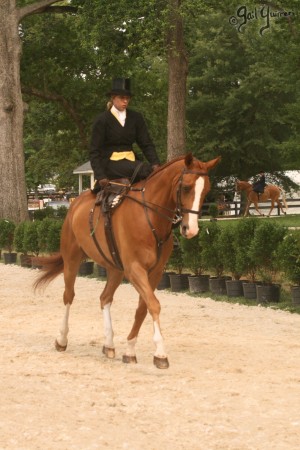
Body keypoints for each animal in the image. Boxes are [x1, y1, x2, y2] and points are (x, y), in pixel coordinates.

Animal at [34, 153, 220, 368]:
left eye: (206, 190)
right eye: (187, 187)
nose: (191, 229)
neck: (149, 217)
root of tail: (75, 203)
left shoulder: (155, 272)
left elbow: (142, 308)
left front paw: (130, 350)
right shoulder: (134, 270)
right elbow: (154, 305)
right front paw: (160, 353)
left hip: (115, 269)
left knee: (105, 298)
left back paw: (109, 344)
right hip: (72, 259)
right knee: (69, 296)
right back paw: (62, 339)